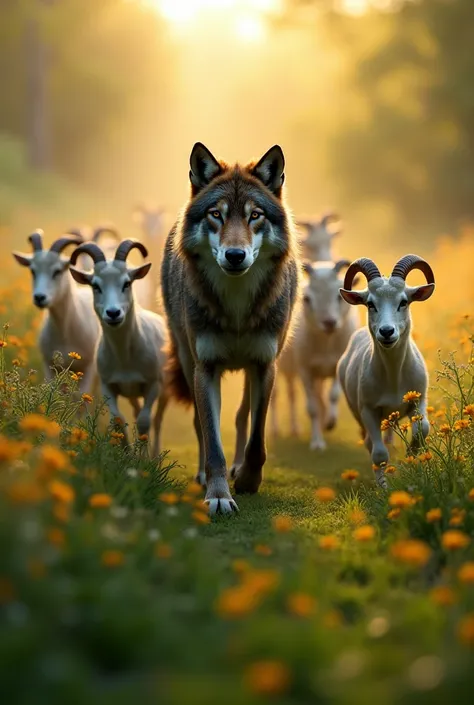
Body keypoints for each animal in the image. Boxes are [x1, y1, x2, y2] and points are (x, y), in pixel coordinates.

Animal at [12, 228, 99, 390]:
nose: (39, 297)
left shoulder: (88, 368)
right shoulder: (50, 366)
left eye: (57, 271)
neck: (65, 333)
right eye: (32, 270)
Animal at [69, 239, 168, 454]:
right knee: (137, 411)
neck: (125, 358)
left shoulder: (153, 383)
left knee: (157, 419)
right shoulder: (108, 385)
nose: (113, 313)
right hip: (132, 392)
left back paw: (155, 454)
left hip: (167, 388)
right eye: (95, 286)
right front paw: (128, 454)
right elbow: (118, 420)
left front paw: (143, 457)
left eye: (127, 283)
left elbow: (145, 421)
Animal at [161, 143, 298, 516]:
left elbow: (257, 438)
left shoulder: (266, 365)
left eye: (255, 215)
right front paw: (219, 494)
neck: (237, 307)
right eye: (216, 215)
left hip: (251, 370)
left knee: (241, 417)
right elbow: (212, 439)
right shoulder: (205, 369)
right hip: (187, 359)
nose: (235, 255)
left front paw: (248, 479)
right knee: (202, 425)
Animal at [272, 262, 358, 448]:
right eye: (307, 299)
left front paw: (330, 422)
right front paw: (317, 443)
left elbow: (333, 395)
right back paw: (277, 430)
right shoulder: (305, 370)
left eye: (339, 296)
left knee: (294, 394)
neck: (326, 343)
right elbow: (312, 408)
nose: (329, 323)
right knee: (278, 394)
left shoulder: (337, 365)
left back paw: (297, 429)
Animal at [336, 254, 436, 490]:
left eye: (404, 302)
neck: (393, 378)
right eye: (370, 303)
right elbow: (378, 453)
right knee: (370, 442)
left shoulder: (419, 398)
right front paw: (384, 487)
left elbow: (422, 429)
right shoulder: (368, 409)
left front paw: (413, 461)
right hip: (357, 409)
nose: (387, 331)